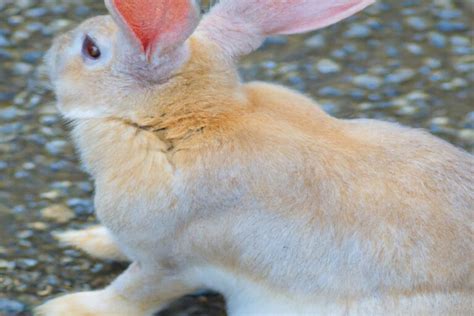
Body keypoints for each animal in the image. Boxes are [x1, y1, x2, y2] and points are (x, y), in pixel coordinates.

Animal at [38, 0, 474, 314]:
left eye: (91, 49)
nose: (53, 47)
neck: (182, 120)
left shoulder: (169, 262)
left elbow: (130, 295)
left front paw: (62, 308)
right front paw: (84, 239)